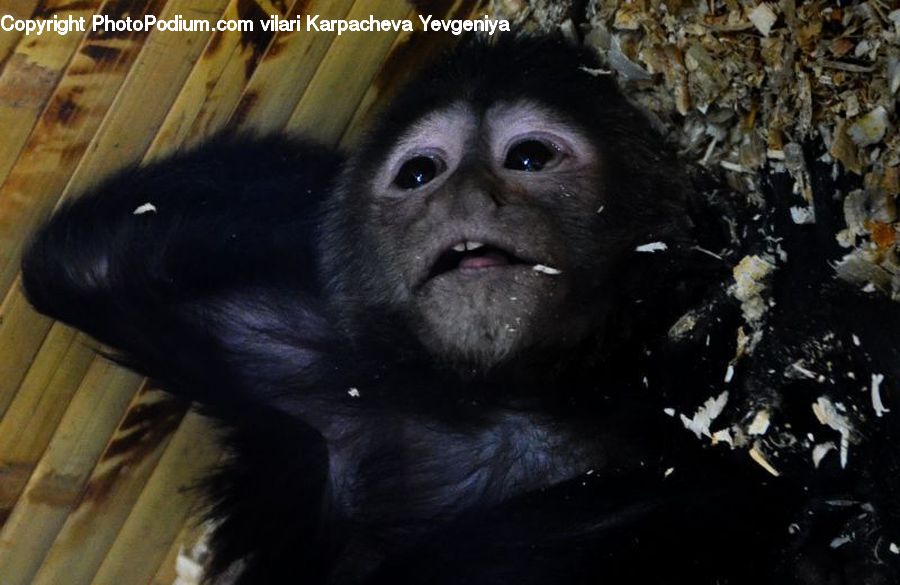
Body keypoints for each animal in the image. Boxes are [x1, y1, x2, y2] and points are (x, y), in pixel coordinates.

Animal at [20, 34, 900, 584]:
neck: (528, 396)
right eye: (421, 173)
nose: (468, 196)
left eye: (529, 157)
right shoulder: (309, 368)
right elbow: (82, 261)